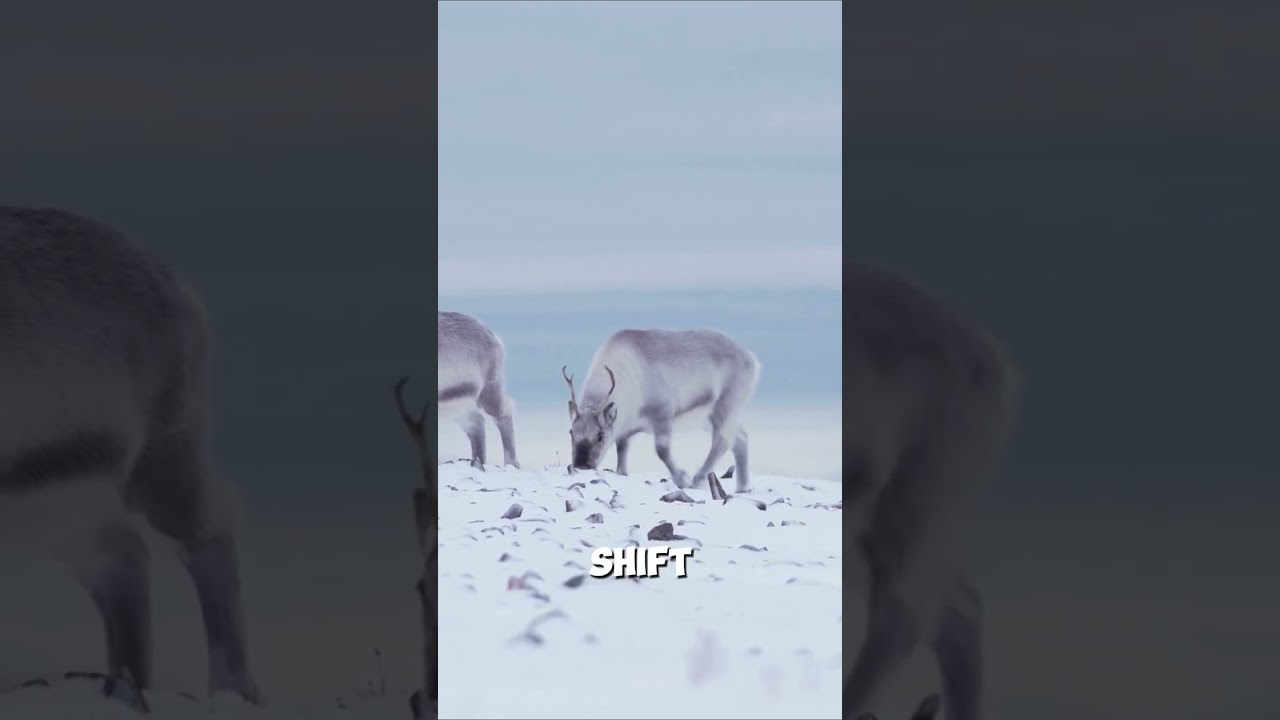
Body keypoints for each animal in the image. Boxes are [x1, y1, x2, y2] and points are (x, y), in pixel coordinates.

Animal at [0, 205, 260, 704]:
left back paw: (233, 689)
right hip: (58, 511)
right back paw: (123, 685)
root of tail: (174, 283)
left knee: (210, 528)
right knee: (123, 561)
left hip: (163, 464)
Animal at [437, 311, 519, 470]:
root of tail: (494, 337)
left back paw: (511, 464)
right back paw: (477, 463)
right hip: (458, 407)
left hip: (488, 393)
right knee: (476, 425)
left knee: (503, 415)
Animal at [561, 328, 761, 493]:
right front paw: (622, 473)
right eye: (571, 432)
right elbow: (622, 452)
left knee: (721, 442)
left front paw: (682, 478)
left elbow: (662, 450)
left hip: (726, 405)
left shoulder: (663, 414)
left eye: (600, 436)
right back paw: (743, 487)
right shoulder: (625, 428)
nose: (581, 464)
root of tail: (751, 358)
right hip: (709, 417)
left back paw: (698, 479)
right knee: (741, 438)